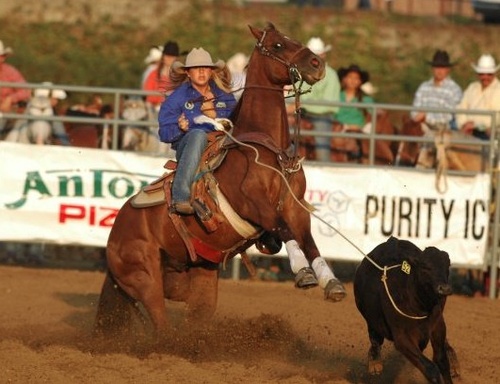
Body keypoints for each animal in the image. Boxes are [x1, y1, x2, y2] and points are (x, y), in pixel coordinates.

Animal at [95, 22, 350, 340]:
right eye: (278, 45)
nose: (317, 63)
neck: (268, 148)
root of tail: (115, 234)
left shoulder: (295, 207)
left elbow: (309, 240)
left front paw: (331, 282)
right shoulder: (255, 204)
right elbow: (283, 228)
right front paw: (303, 273)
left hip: (198, 278)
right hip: (144, 276)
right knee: (160, 323)